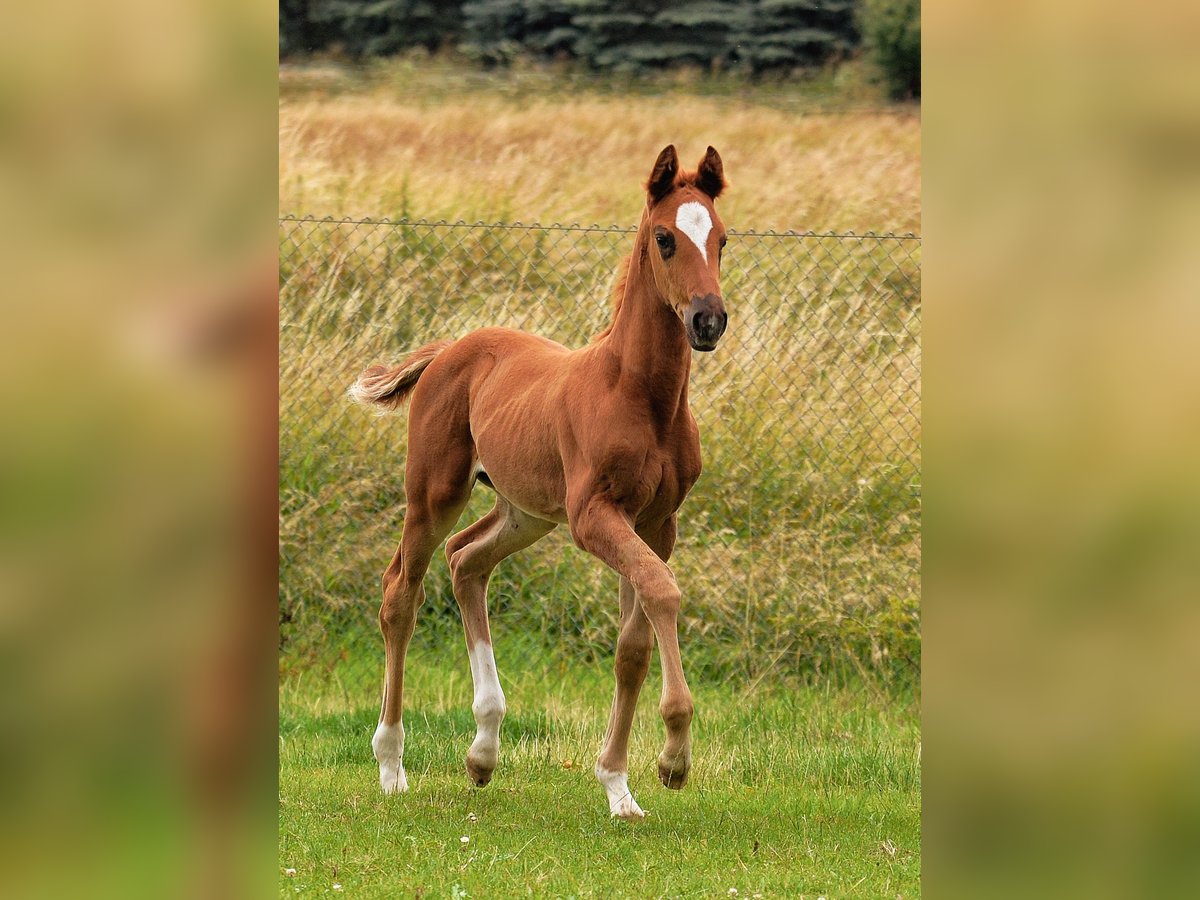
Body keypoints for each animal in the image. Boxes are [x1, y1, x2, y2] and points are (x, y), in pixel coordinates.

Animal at [352, 144, 729, 820]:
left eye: (723, 239)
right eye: (665, 238)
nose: (709, 320)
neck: (640, 395)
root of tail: (452, 347)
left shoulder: (656, 523)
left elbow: (632, 648)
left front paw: (618, 786)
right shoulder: (593, 518)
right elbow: (664, 593)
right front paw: (673, 759)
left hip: (522, 512)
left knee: (467, 560)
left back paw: (482, 753)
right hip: (435, 493)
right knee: (402, 593)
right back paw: (392, 764)